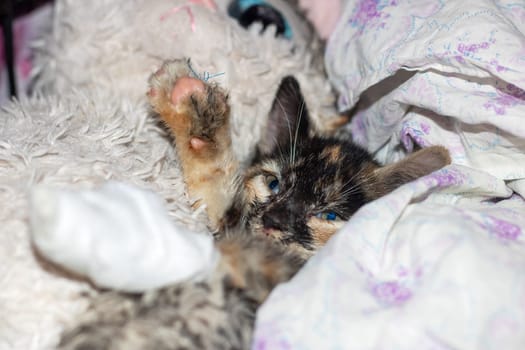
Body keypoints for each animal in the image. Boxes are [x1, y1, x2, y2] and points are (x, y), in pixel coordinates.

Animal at [58, 58, 450, 348]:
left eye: (328, 214)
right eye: (273, 183)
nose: (275, 219)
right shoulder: (225, 218)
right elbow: (214, 183)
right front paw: (188, 99)